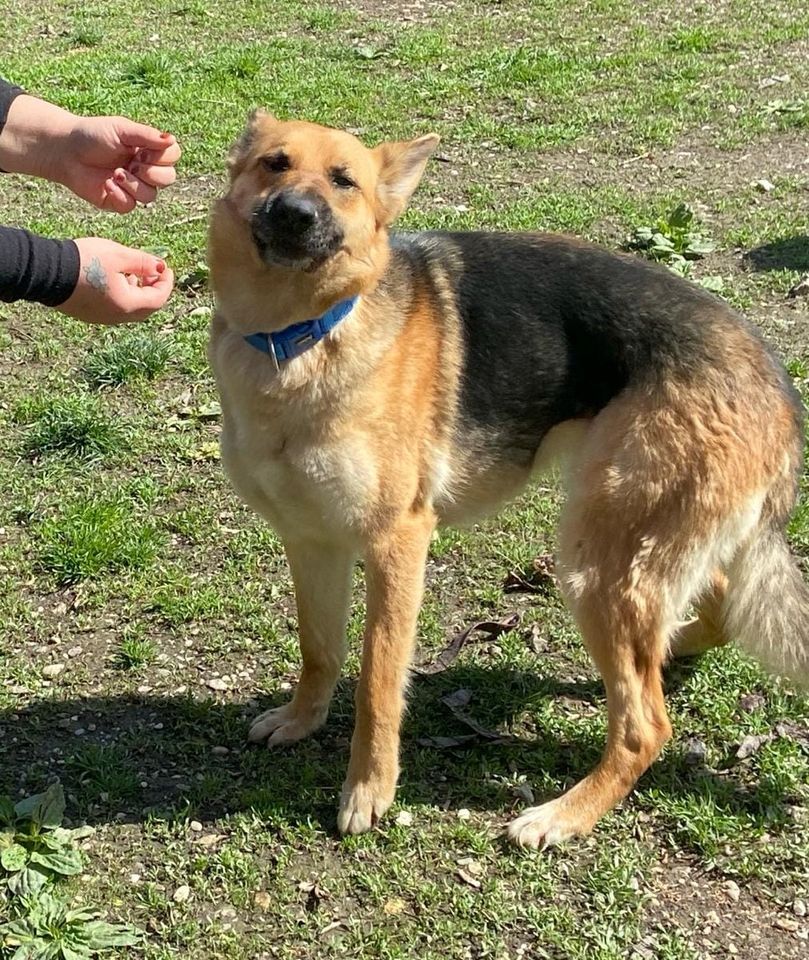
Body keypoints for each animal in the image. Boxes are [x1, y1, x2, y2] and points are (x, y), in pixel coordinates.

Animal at [205, 110, 804, 848]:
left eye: (343, 180)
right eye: (275, 164)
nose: (294, 213)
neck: (295, 337)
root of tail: (777, 386)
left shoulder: (396, 544)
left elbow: (377, 679)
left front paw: (369, 790)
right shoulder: (311, 540)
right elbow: (319, 648)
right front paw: (300, 720)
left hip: (594, 565)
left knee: (644, 725)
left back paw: (563, 815)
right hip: (641, 545)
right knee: (708, 605)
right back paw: (671, 650)